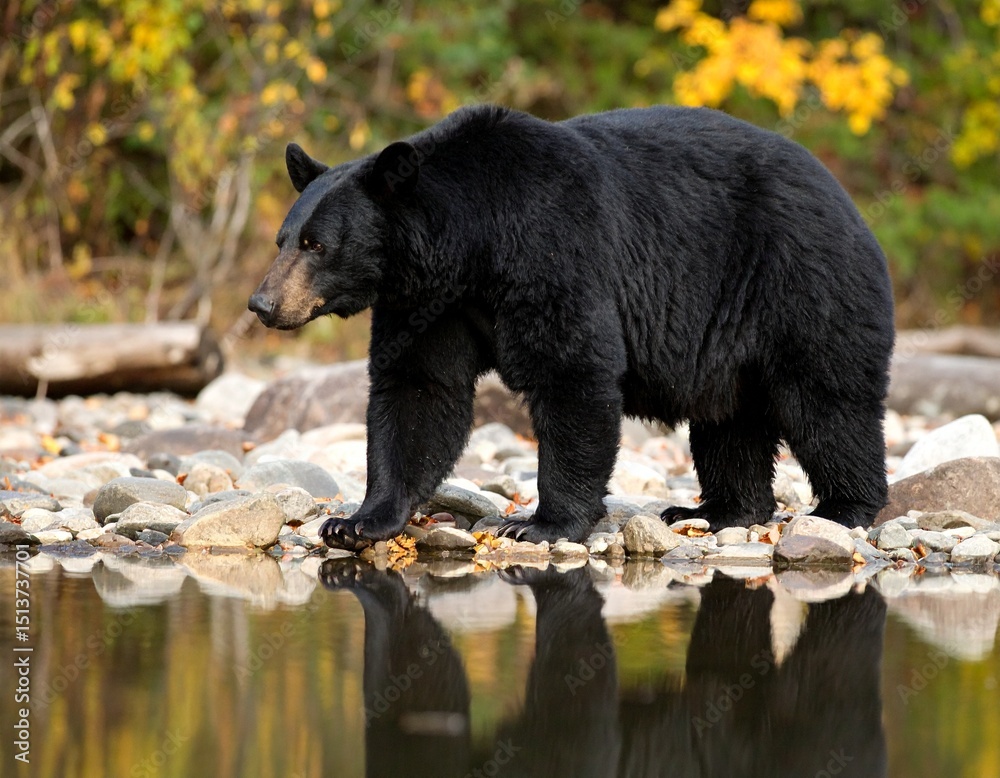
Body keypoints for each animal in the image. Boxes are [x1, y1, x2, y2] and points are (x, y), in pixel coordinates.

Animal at [249, 104, 894, 550]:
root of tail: (846, 200)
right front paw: (357, 521)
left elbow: (572, 373)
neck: (470, 247)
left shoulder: (553, 250)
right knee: (727, 422)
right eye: (284, 238)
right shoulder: (430, 302)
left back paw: (843, 509)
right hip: (727, 339)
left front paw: (543, 524)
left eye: (317, 244)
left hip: (798, 282)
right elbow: (418, 391)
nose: (261, 303)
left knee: (827, 402)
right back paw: (717, 511)